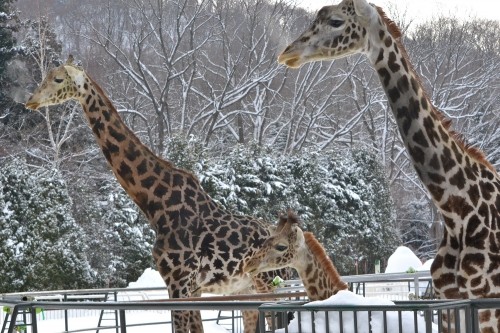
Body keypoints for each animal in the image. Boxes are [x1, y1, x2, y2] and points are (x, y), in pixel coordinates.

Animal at [25, 56, 292, 332]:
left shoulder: (180, 279)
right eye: (45, 76)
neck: (157, 204)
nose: (30, 101)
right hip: (245, 287)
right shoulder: (188, 285)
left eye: (58, 79)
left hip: (271, 282)